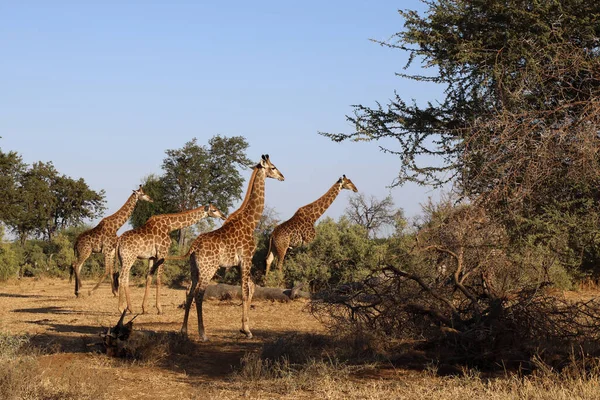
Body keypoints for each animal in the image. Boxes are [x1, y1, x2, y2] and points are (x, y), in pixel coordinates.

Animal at [166, 154, 284, 340]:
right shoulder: (247, 258)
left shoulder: (237, 264)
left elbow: (251, 288)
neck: (251, 222)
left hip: (194, 269)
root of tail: (193, 247)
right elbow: (245, 291)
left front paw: (244, 327)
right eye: (273, 167)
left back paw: (183, 331)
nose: (282, 176)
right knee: (199, 294)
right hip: (208, 269)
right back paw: (203, 333)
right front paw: (246, 330)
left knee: (190, 293)